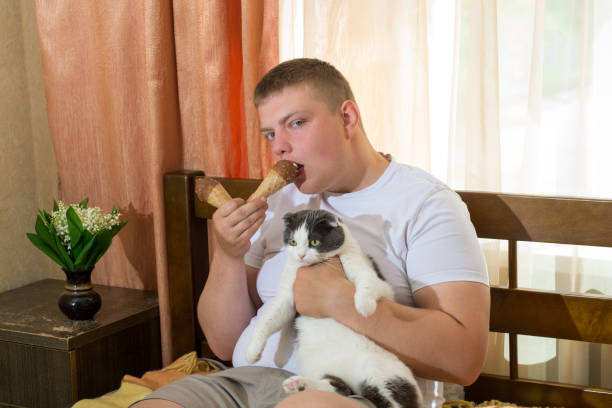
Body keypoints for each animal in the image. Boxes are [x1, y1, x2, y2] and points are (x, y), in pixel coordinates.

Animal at [246, 209, 424, 406]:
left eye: (314, 242)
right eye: (292, 242)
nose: (300, 255)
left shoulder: (373, 277)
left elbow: (367, 282)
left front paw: (364, 306)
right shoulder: (286, 297)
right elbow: (268, 319)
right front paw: (252, 352)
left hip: (381, 375)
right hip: (324, 371)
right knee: (338, 388)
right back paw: (299, 385)